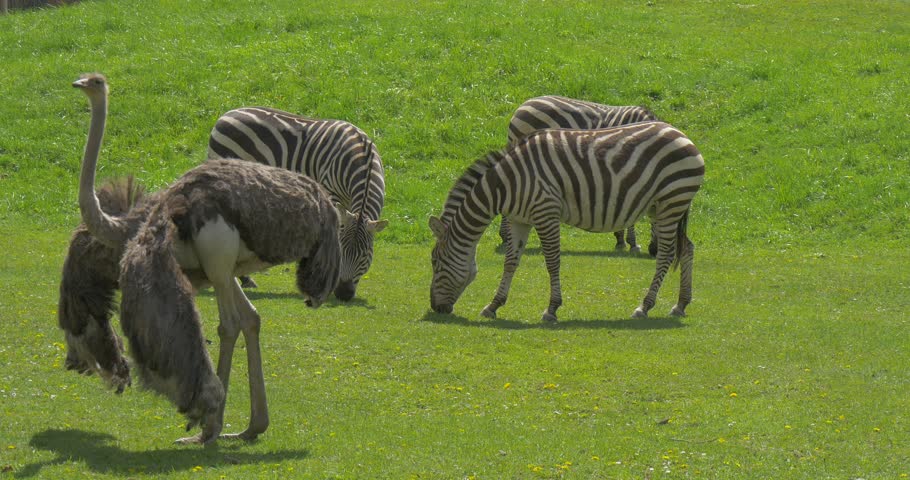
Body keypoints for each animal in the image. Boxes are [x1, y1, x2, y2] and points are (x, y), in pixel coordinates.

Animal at [208, 107, 387, 301]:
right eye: (342, 252)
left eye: (364, 255)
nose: (343, 294)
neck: (362, 158)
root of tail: (226, 114)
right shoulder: (329, 190)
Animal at [429, 121, 704, 322]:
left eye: (435, 262)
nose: (435, 308)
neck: (506, 184)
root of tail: (681, 134)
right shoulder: (519, 220)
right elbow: (510, 262)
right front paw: (493, 305)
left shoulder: (546, 212)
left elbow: (552, 262)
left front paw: (551, 309)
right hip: (664, 207)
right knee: (687, 248)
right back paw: (680, 304)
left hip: (671, 202)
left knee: (666, 255)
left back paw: (644, 306)